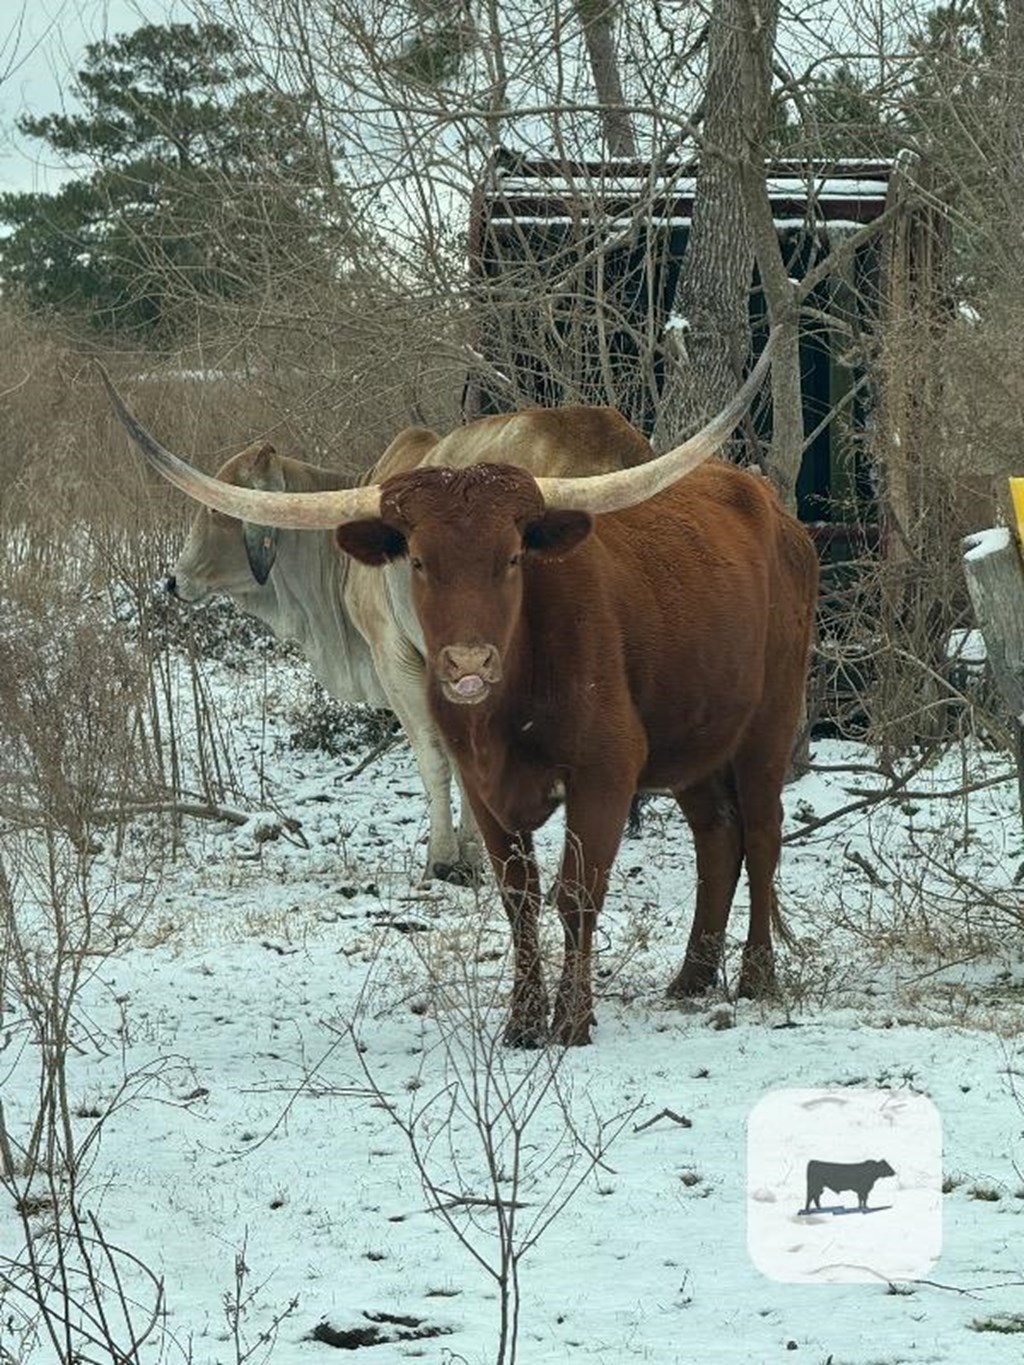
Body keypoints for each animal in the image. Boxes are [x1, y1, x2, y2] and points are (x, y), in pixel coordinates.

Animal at [102, 338, 819, 1042]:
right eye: (417, 560)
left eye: (513, 557)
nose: (172, 581)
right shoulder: (485, 767)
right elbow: (519, 895)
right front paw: (523, 1020)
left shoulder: (564, 751)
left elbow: (559, 879)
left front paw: (559, 1005)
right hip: (697, 738)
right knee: (717, 837)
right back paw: (692, 976)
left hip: (768, 724)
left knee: (762, 833)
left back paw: (757, 976)